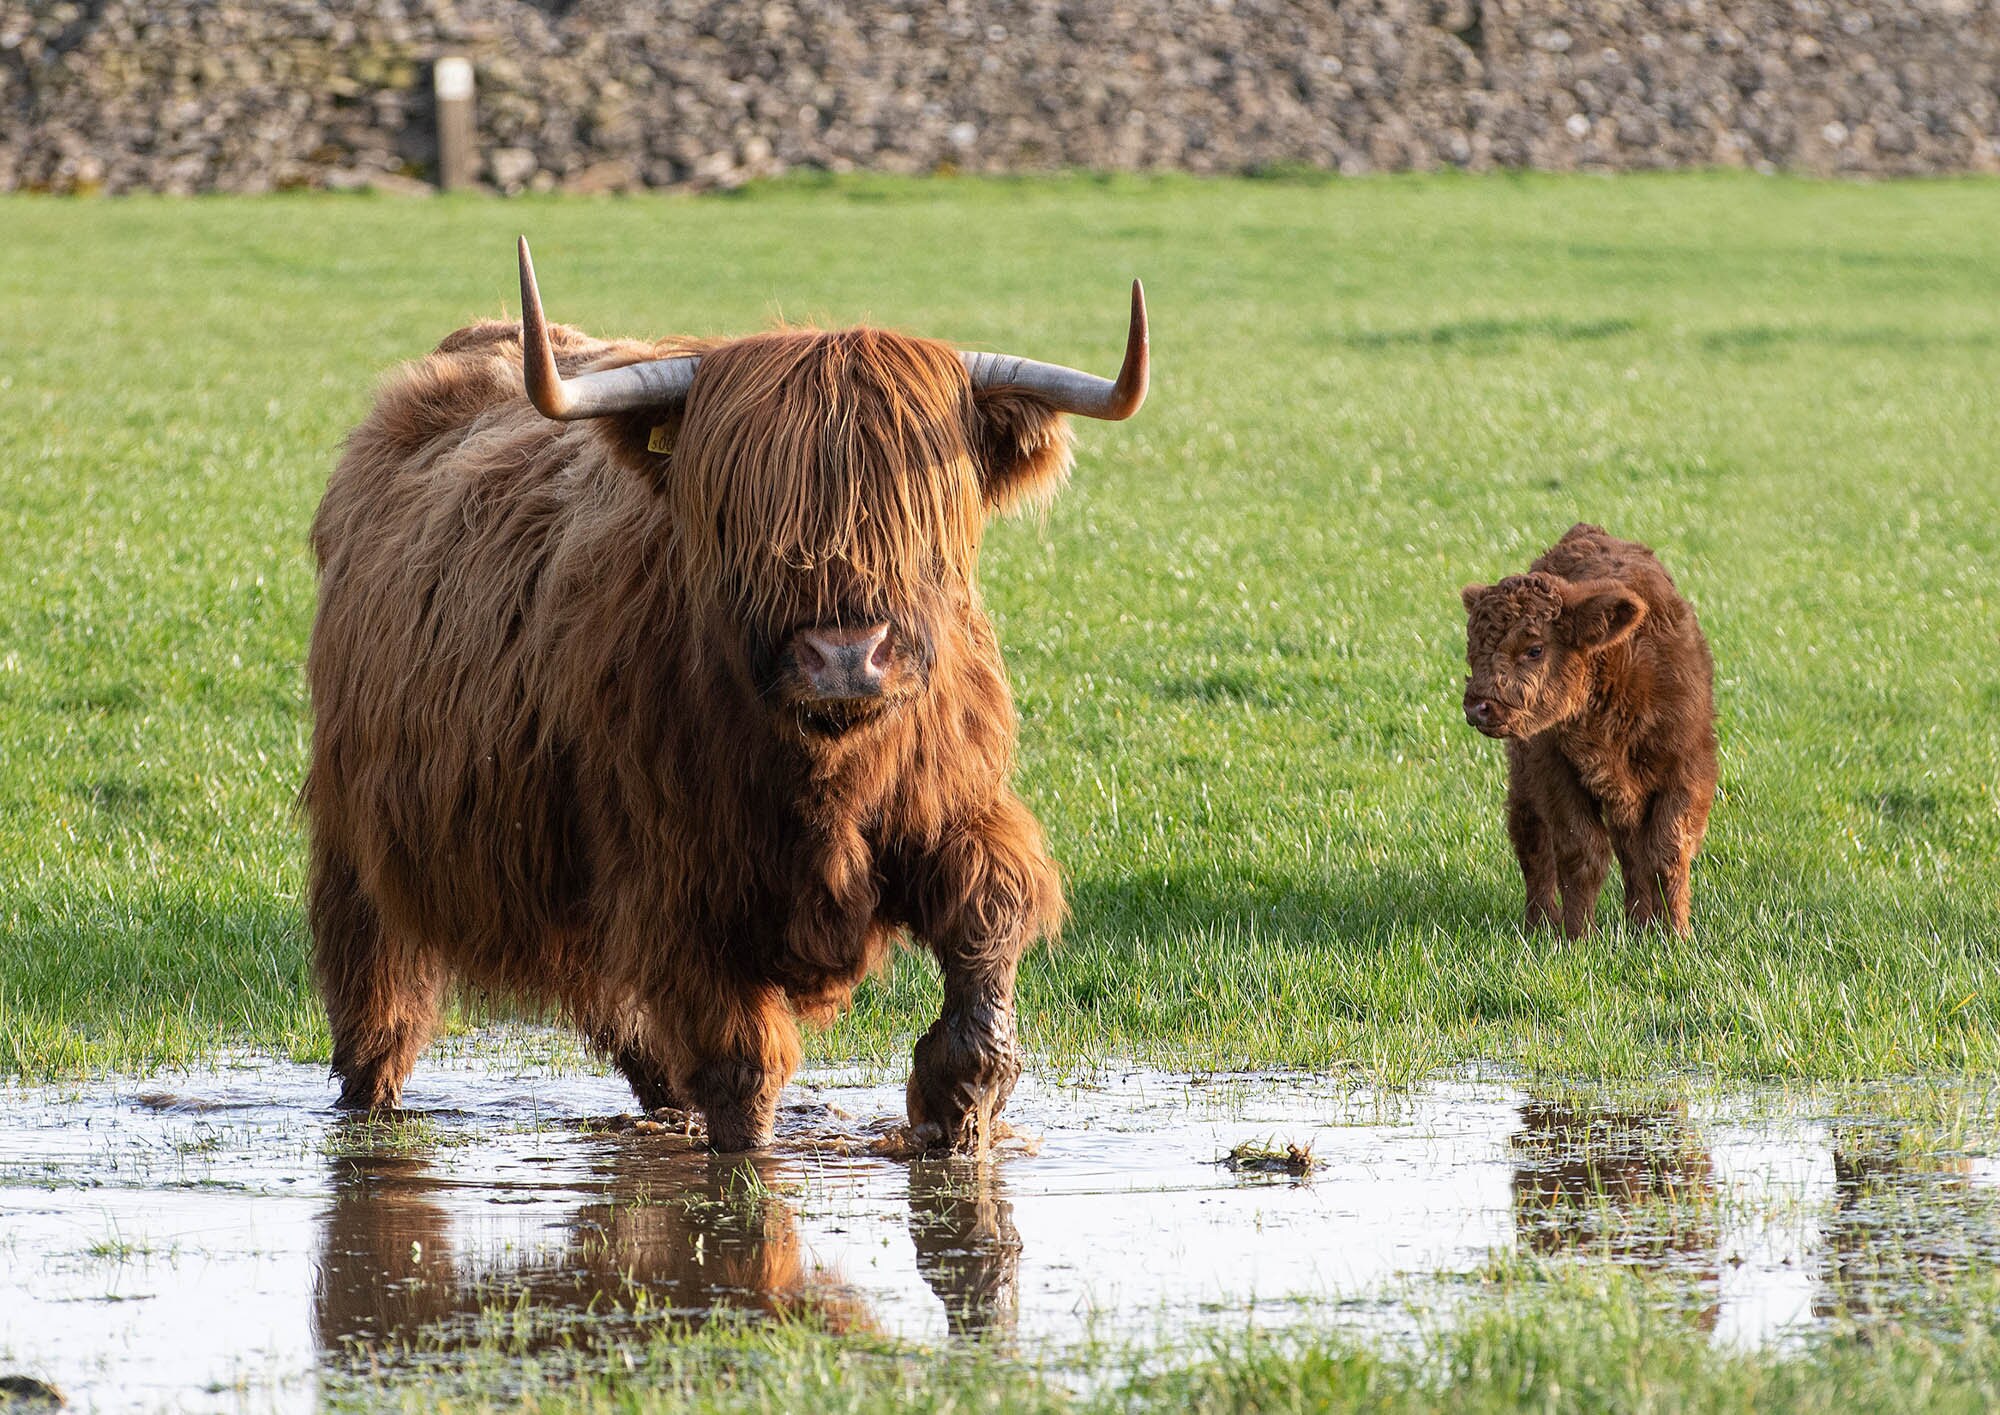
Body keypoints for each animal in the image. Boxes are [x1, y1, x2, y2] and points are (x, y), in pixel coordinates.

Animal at [304, 238, 1148, 1151]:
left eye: (920, 515)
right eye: (746, 515)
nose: (844, 657)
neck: (824, 771)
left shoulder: (954, 802)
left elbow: (992, 914)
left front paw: (954, 1105)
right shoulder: (682, 883)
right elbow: (743, 1065)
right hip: (360, 840)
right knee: (376, 995)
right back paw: (369, 1098)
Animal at [1459, 523, 1717, 936]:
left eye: (1535, 649)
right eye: (1473, 650)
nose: (1477, 706)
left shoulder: (1689, 767)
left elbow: (1668, 851)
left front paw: (1674, 935)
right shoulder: (1554, 770)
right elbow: (1581, 851)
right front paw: (1577, 937)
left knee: (1631, 850)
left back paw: (1640, 925)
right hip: (1525, 773)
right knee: (1532, 839)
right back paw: (1540, 923)